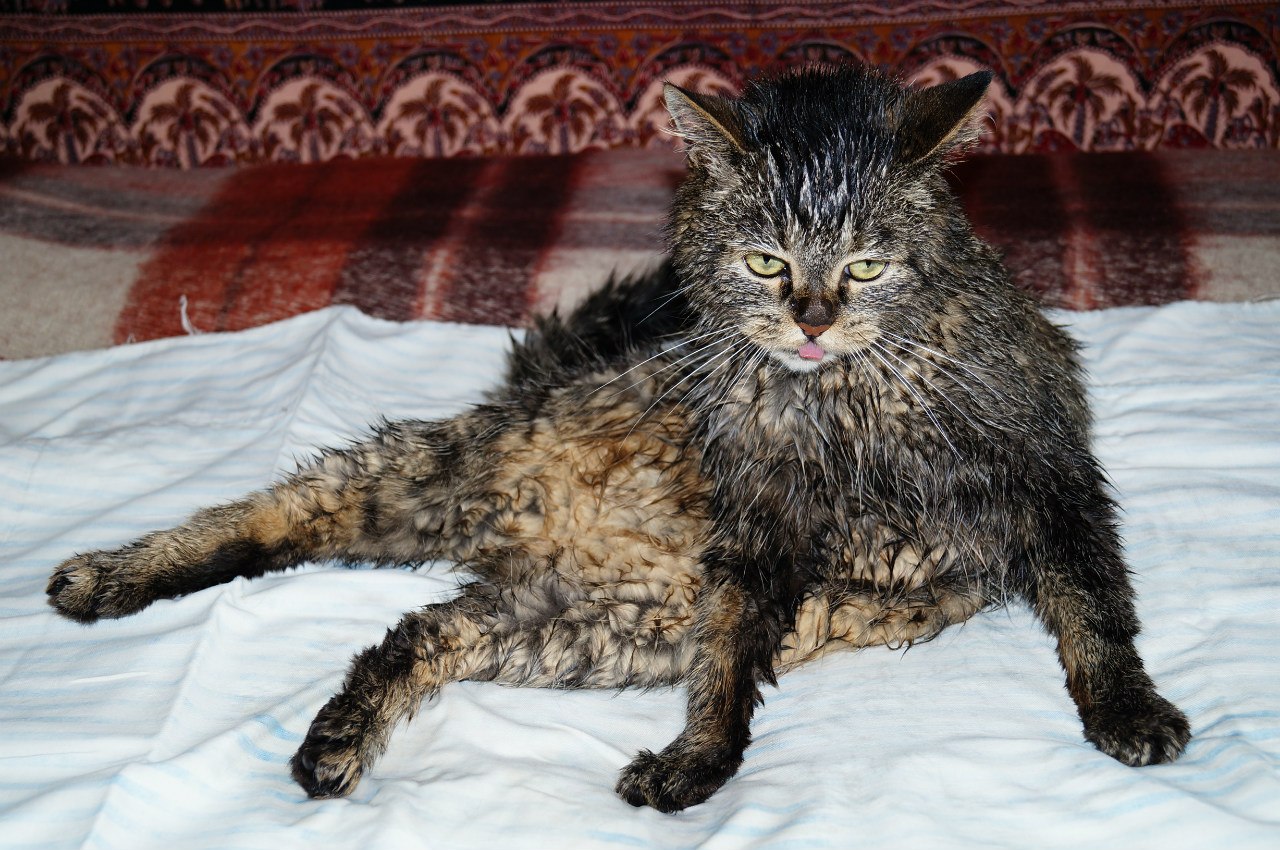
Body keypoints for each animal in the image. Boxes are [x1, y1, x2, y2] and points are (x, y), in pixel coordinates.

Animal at [46, 64, 1191, 813]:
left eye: (865, 265)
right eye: (766, 262)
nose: (812, 319)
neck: (846, 404)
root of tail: (525, 543)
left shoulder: (1049, 481)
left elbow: (1095, 613)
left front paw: (1129, 713)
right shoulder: (758, 535)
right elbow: (730, 668)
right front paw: (699, 763)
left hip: (585, 629)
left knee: (416, 630)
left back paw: (333, 744)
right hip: (436, 478)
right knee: (271, 514)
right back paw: (103, 580)